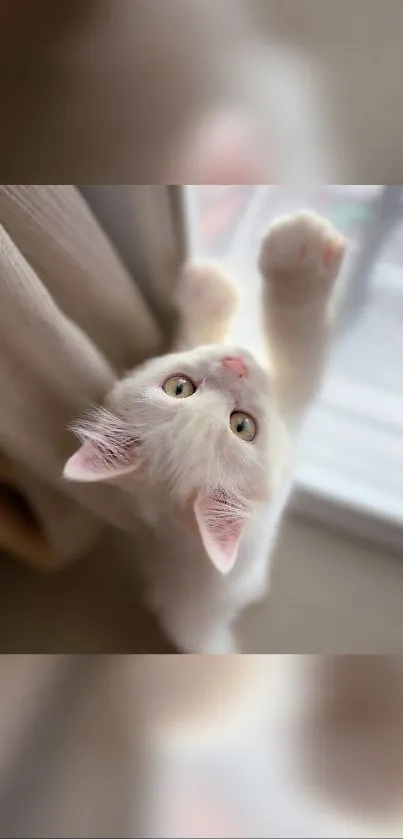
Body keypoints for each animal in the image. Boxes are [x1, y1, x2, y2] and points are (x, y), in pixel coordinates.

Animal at [64, 212, 348, 656]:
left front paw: (206, 285)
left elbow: (196, 334)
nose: (236, 364)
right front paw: (298, 254)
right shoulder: (291, 402)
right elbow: (300, 342)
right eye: (243, 426)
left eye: (178, 387)